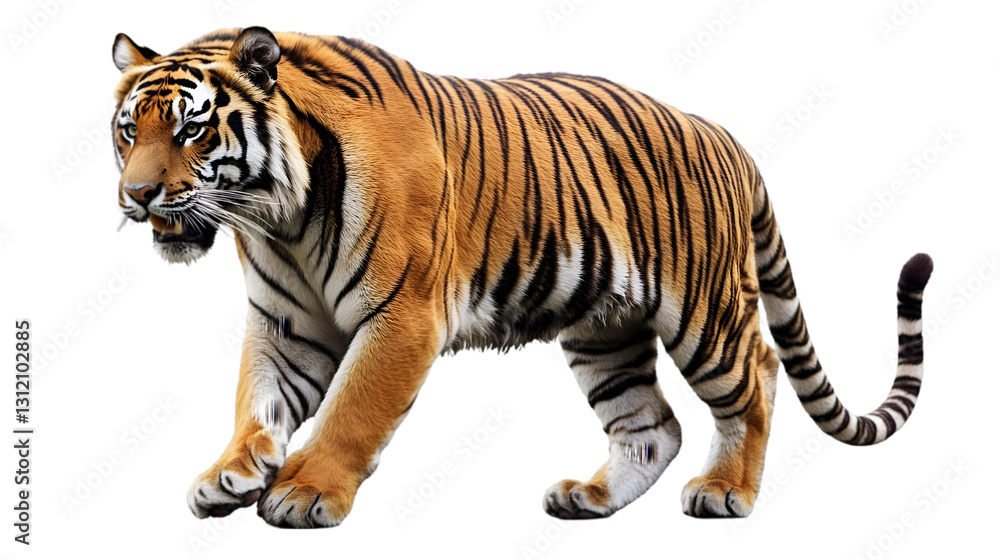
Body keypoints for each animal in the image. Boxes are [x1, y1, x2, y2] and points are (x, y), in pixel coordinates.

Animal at [111, 27, 933, 528]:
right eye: (127, 131)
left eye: (191, 129)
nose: (136, 195)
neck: (280, 215)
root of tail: (726, 137)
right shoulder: (287, 323)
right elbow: (258, 399)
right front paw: (232, 472)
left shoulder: (403, 316)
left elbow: (353, 409)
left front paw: (306, 492)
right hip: (606, 331)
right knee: (652, 425)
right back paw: (590, 498)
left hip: (705, 313)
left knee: (757, 374)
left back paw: (725, 491)